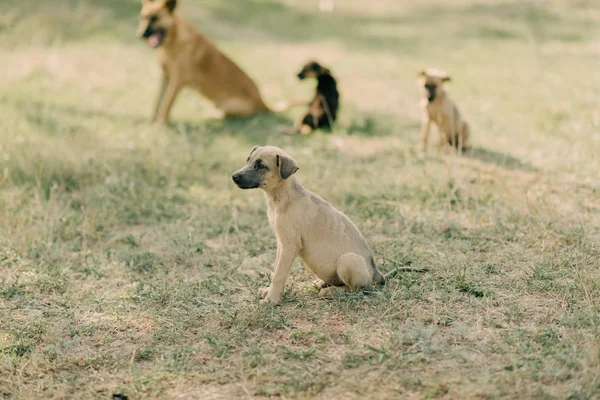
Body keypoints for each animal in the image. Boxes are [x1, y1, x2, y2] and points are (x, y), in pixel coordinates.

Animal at [137, 0, 268, 124]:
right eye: (143, 17)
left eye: (155, 18)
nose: (139, 35)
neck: (173, 42)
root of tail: (263, 103)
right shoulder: (166, 76)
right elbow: (158, 102)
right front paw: (152, 122)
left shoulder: (177, 81)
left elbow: (166, 104)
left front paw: (159, 125)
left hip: (227, 105)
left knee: (222, 114)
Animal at [231, 145, 426, 304]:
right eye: (248, 160)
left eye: (260, 166)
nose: (234, 177)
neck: (281, 199)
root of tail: (377, 274)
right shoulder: (281, 244)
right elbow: (275, 272)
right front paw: (268, 292)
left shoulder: (289, 246)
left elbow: (279, 275)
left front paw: (271, 300)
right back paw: (322, 283)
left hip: (349, 260)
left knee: (356, 289)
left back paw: (332, 292)